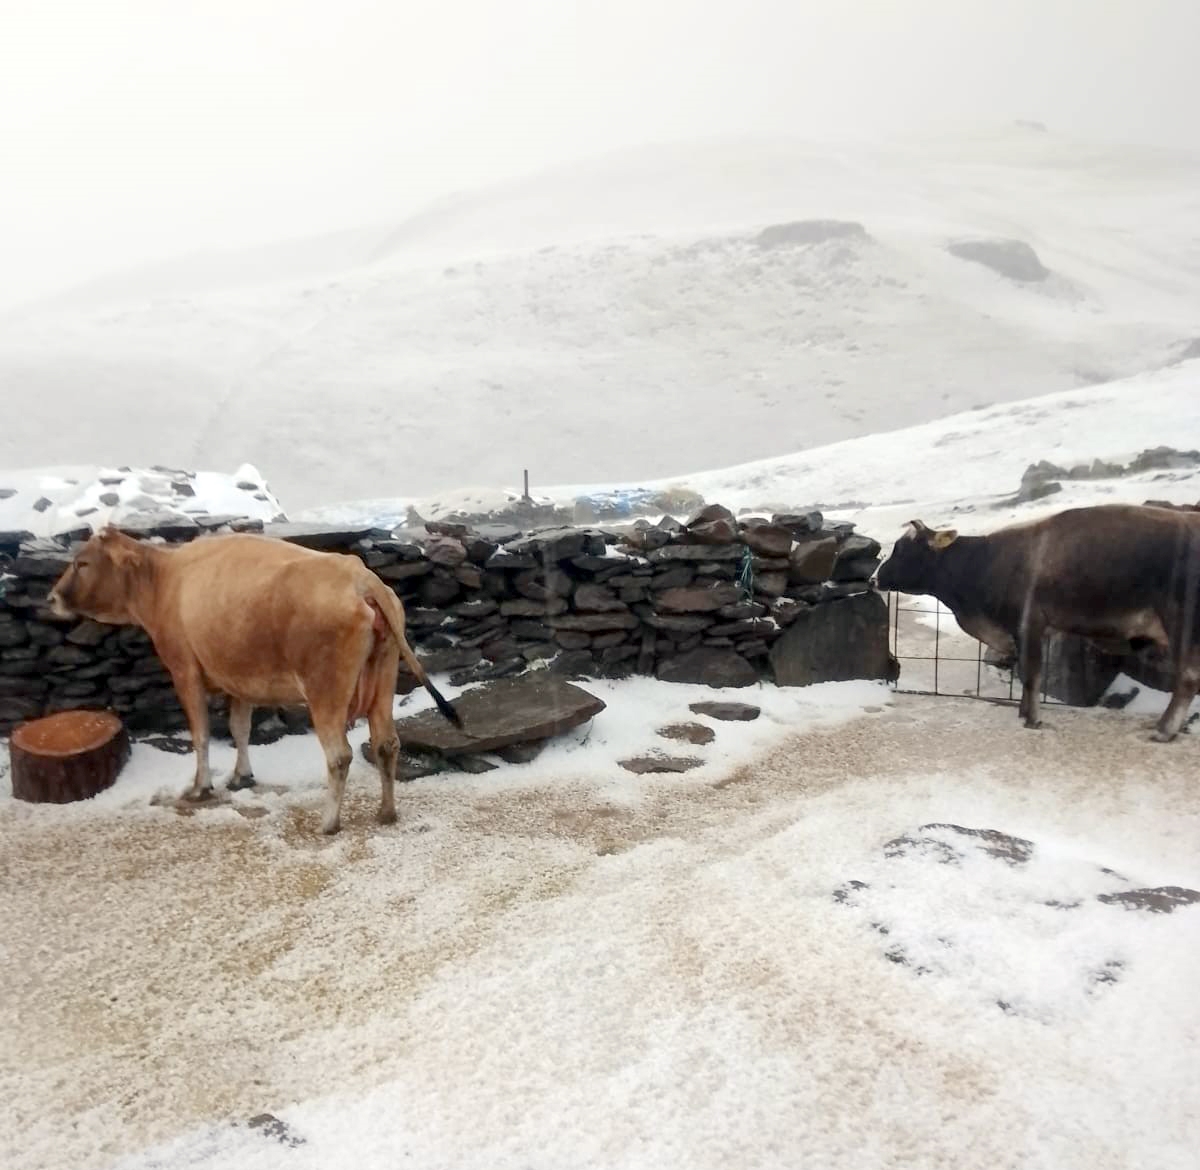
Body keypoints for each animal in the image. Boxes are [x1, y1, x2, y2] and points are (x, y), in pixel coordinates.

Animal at [49, 530, 458, 830]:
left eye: (82, 562)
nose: (52, 598)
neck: (164, 581)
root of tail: (360, 577)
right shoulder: (238, 678)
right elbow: (239, 728)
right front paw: (241, 776)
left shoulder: (184, 669)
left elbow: (201, 734)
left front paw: (200, 787)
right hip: (383, 678)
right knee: (386, 743)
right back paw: (386, 813)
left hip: (325, 689)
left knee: (339, 755)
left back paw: (328, 822)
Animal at [873, 506, 1200, 739]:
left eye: (903, 549)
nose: (875, 578)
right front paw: (1022, 713)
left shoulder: (1029, 622)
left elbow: (1031, 674)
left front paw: (1032, 719)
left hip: (1181, 624)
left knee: (1187, 679)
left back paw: (1164, 730)